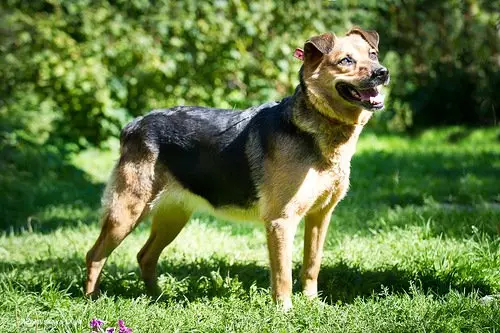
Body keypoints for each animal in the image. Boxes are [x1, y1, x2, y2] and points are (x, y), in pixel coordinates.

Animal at [86, 27, 390, 310]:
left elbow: (311, 265)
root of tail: (134, 124)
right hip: (127, 213)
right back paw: (93, 300)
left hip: (173, 216)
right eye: (346, 61)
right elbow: (283, 275)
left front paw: (312, 304)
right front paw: (285, 312)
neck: (315, 128)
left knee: (145, 256)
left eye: (373, 54)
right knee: (95, 255)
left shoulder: (320, 216)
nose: (383, 73)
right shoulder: (281, 221)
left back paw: (157, 297)